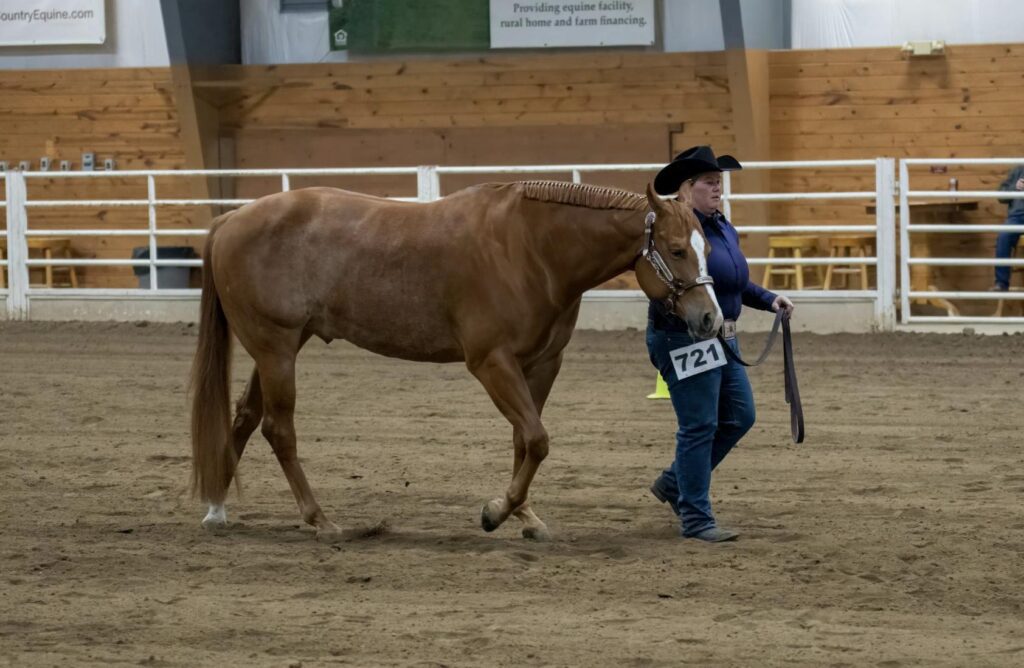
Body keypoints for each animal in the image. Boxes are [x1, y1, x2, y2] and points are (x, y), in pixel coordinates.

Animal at [190, 180, 723, 541]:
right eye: (677, 249)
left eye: (705, 248)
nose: (709, 319)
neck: (530, 247)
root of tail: (230, 220)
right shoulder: (491, 362)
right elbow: (537, 438)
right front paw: (496, 512)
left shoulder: (541, 364)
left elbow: (524, 441)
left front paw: (525, 516)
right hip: (276, 348)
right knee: (278, 430)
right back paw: (319, 519)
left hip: (279, 347)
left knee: (244, 416)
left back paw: (217, 508)